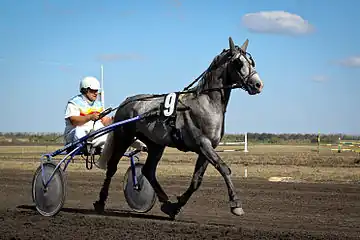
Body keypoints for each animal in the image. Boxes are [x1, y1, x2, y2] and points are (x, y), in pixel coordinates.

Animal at [95, 36, 264, 218]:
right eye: (239, 63)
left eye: (252, 62)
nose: (258, 84)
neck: (207, 103)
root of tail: (126, 101)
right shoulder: (202, 144)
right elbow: (224, 168)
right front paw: (236, 204)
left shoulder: (207, 149)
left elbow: (196, 181)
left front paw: (177, 205)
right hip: (123, 137)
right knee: (112, 167)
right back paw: (100, 202)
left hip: (155, 144)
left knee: (148, 171)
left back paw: (166, 203)